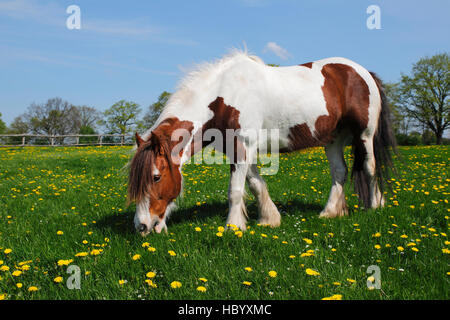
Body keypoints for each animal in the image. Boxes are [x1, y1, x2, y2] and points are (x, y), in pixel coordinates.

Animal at [128, 50, 396, 235]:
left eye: (156, 177)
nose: (141, 226)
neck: (223, 96)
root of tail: (363, 72)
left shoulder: (242, 146)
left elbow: (235, 191)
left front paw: (233, 227)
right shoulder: (238, 150)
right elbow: (257, 184)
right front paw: (270, 219)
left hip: (364, 135)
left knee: (370, 167)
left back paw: (376, 206)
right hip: (333, 139)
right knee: (339, 172)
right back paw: (330, 212)